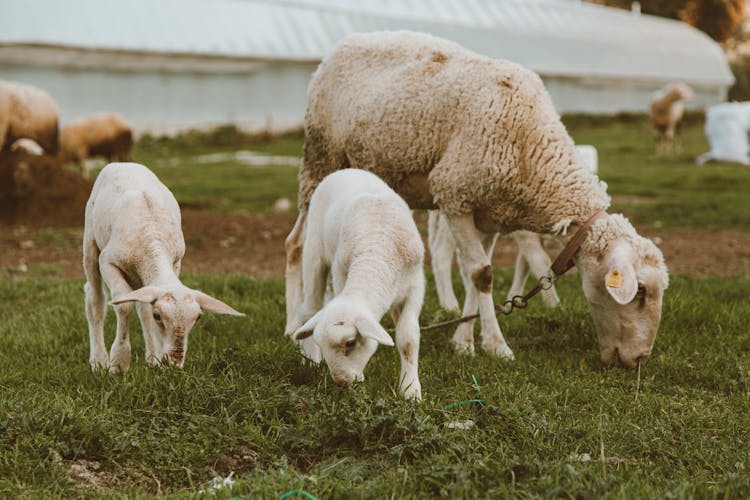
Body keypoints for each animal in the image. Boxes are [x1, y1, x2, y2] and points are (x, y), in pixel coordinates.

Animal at [85, 162, 244, 374]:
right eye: (158, 316)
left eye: (198, 318)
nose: (174, 364)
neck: (152, 235)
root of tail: (123, 163)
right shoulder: (108, 261)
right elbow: (124, 304)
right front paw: (119, 362)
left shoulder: (176, 262)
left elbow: (143, 307)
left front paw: (155, 360)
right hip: (90, 239)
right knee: (94, 299)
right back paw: (98, 361)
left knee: (141, 305)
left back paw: (150, 357)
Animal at [286, 30, 668, 368]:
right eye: (640, 291)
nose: (639, 360)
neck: (531, 149)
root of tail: (340, 47)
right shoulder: (455, 195)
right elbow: (481, 274)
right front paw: (497, 345)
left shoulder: (491, 214)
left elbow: (477, 275)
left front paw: (464, 342)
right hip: (319, 160)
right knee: (296, 245)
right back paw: (295, 326)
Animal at [286, 170, 426, 400]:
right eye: (320, 342)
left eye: (350, 342)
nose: (341, 382)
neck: (375, 250)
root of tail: (345, 171)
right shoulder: (341, 272)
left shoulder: (415, 286)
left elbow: (408, 338)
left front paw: (410, 391)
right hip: (314, 250)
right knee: (311, 308)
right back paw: (310, 360)